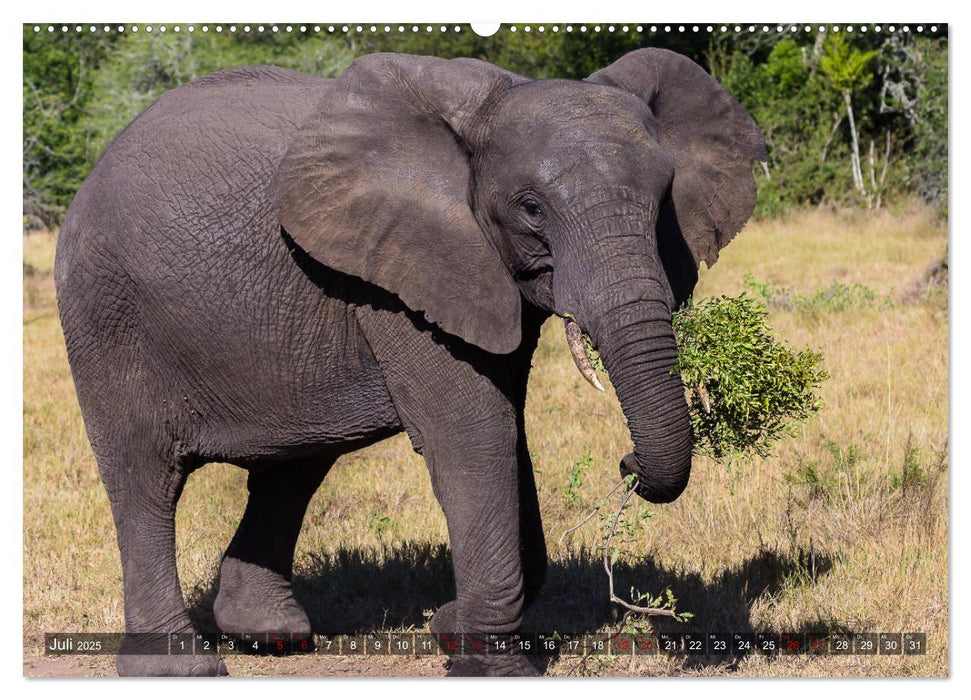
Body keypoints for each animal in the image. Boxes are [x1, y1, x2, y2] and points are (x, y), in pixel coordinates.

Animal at [53, 46, 768, 676]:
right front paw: (488, 666)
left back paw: (271, 637)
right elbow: (472, 430)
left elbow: (507, 427)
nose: (627, 464)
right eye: (531, 208)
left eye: (664, 199)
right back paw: (178, 667)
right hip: (106, 313)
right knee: (145, 477)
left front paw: (449, 627)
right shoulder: (398, 269)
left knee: (293, 467)